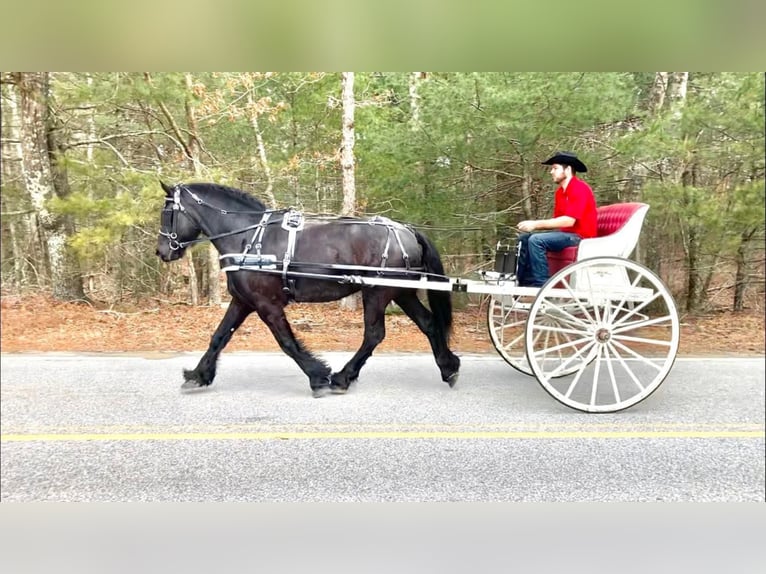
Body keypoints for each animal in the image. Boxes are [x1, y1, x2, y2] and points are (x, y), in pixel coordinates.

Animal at [153, 183, 460, 396]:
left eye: (167, 213)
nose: (162, 251)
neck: (248, 237)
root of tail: (407, 230)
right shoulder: (243, 301)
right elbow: (219, 337)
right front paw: (198, 375)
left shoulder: (267, 304)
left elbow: (287, 343)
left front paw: (318, 376)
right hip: (401, 292)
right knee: (429, 323)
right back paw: (449, 368)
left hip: (377, 292)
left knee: (374, 334)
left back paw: (342, 377)